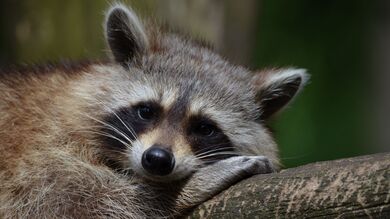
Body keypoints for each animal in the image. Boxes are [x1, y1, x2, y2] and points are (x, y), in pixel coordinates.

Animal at [0, 3, 308, 219]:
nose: (157, 160)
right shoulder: (40, 155)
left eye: (204, 128)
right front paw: (181, 189)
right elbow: (79, 203)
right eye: (146, 111)